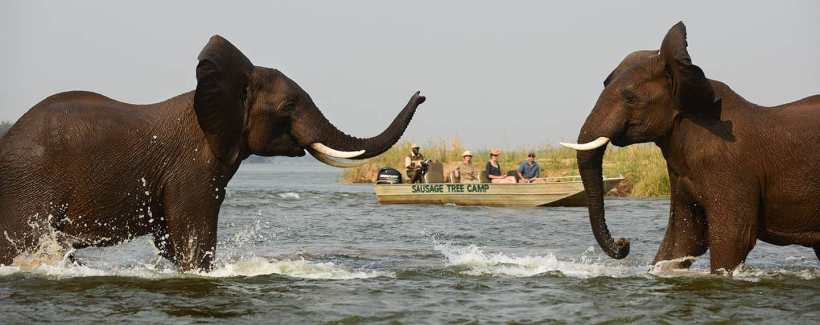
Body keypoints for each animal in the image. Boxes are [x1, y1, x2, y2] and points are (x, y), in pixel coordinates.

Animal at [0, 35, 422, 270]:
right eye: (288, 106)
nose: (422, 94)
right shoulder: (193, 166)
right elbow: (192, 235)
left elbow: (172, 240)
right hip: (26, 186)